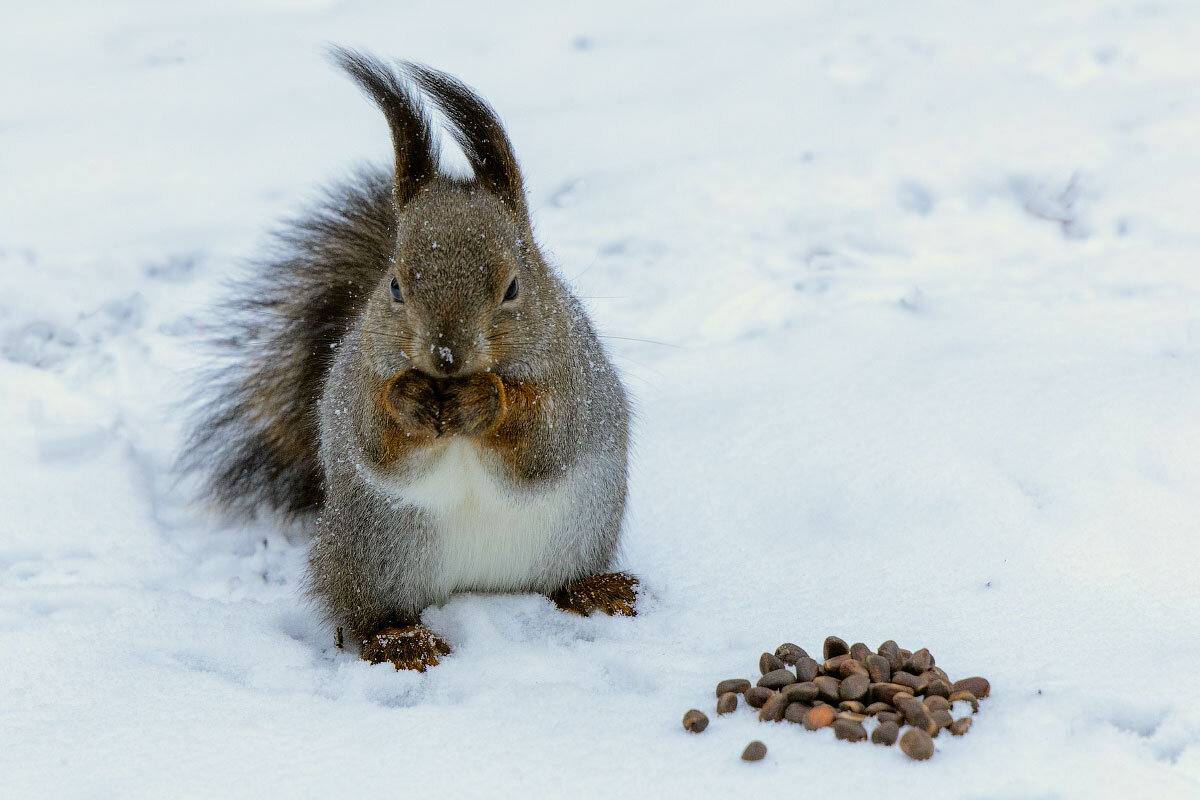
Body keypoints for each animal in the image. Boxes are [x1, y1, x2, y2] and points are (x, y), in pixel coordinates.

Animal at [184, 48, 638, 671]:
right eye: (395, 286)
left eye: (514, 287)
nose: (445, 355)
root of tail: (484, 586)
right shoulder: (355, 381)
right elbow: (375, 440)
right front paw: (409, 399)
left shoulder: (573, 382)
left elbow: (545, 439)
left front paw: (488, 400)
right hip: (374, 554)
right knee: (365, 617)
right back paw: (401, 638)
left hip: (578, 530)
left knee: (560, 580)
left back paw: (595, 589)